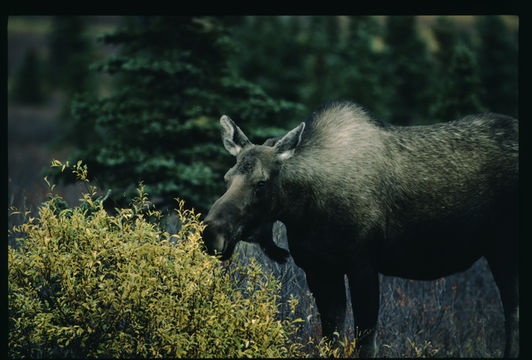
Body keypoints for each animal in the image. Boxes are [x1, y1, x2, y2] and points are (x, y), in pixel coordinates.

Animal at [202, 100, 516, 358]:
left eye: (261, 182)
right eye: (227, 177)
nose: (211, 234)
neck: (303, 209)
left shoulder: (362, 263)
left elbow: (365, 344)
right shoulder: (318, 269)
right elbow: (331, 341)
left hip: (504, 248)